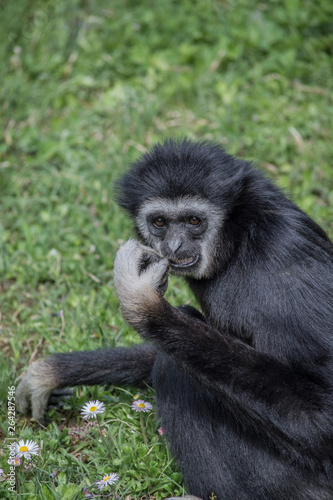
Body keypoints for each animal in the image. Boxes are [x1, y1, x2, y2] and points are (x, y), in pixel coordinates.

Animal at [17, 138, 332, 500]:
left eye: (194, 220)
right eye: (160, 223)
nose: (174, 244)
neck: (240, 240)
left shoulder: (286, 266)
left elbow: (321, 419)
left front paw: (144, 303)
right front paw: (54, 371)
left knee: (174, 364)